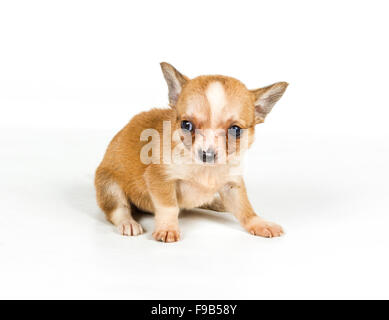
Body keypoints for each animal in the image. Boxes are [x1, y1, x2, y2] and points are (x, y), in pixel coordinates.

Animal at [95, 62, 286, 241]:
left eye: (236, 130)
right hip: (109, 187)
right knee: (119, 210)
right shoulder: (160, 178)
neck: (206, 170)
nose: (207, 154)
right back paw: (128, 223)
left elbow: (245, 209)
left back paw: (216, 202)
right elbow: (169, 207)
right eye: (186, 125)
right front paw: (168, 228)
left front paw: (259, 223)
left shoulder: (232, 185)